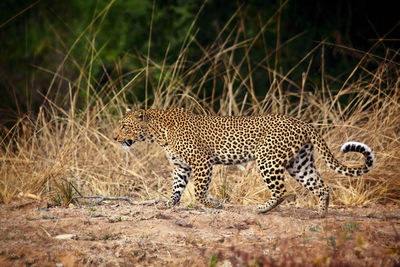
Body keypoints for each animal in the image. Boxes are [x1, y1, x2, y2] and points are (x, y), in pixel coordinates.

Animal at [113, 108, 376, 217]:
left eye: (124, 126)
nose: (115, 137)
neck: (157, 133)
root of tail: (303, 123)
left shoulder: (202, 162)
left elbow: (198, 191)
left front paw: (215, 204)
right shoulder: (181, 167)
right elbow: (176, 189)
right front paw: (169, 204)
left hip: (268, 159)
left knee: (282, 191)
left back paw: (262, 209)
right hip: (300, 164)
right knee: (321, 186)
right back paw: (321, 214)